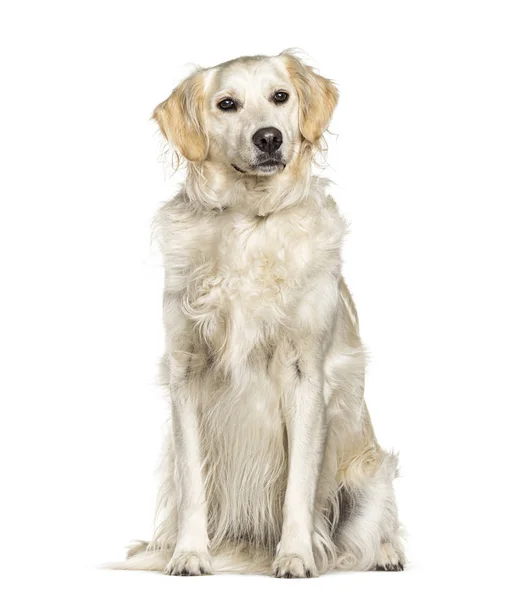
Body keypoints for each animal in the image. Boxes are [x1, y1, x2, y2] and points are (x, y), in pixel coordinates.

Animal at [114, 50, 404, 576]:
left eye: (280, 96)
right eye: (227, 103)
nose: (268, 137)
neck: (249, 221)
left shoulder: (305, 373)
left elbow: (298, 488)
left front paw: (295, 556)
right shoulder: (187, 370)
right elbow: (193, 483)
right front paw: (189, 554)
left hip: (369, 473)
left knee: (373, 528)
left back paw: (386, 554)